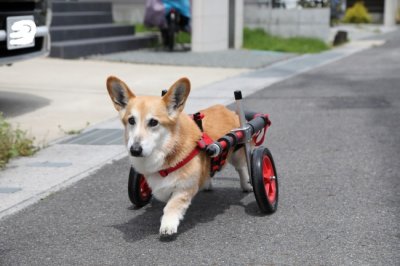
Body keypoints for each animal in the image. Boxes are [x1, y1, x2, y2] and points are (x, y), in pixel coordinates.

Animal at [106, 76, 250, 236]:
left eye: (153, 122)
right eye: (131, 120)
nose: (135, 150)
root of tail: (225, 109)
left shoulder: (184, 188)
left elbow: (172, 205)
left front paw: (168, 224)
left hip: (237, 151)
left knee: (242, 168)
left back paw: (247, 185)